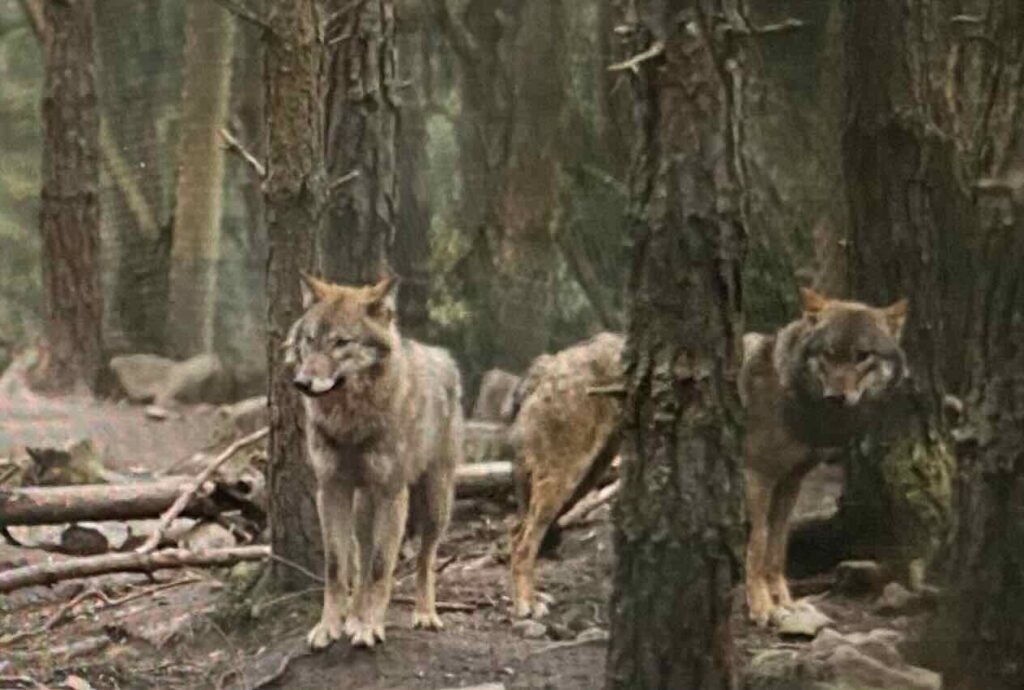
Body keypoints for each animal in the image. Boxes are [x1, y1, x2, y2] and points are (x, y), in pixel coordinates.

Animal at [286, 274, 464, 649]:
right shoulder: (331, 490)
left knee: (425, 559)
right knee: (362, 559)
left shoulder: (392, 493)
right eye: (311, 340)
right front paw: (331, 626)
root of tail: (442, 355)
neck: (350, 422)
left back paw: (425, 614)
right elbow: (338, 567)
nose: (302, 383)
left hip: (435, 503)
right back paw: (354, 616)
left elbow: (384, 566)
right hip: (362, 508)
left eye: (341, 342)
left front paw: (370, 628)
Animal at [507, 332, 624, 618]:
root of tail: (545, 365)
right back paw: (526, 605)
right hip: (562, 479)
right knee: (523, 546)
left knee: (516, 534)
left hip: (587, 477)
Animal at [740, 287, 908, 626]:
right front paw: (762, 607)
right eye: (829, 354)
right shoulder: (757, 476)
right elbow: (759, 544)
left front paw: (785, 603)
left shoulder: (790, 482)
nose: (836, 397)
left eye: (862, 355)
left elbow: (777, 546)